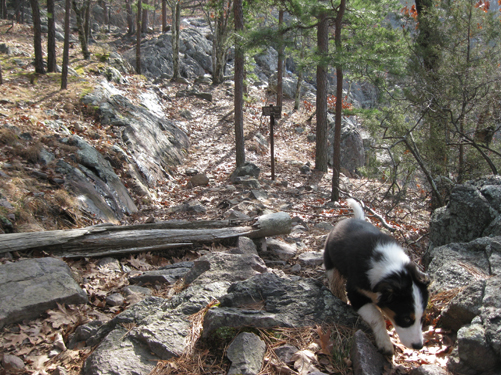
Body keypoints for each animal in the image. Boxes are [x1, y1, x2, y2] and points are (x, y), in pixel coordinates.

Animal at [324, 200, 430, 356]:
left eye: (422, 317)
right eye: (406, 318)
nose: (418, 346)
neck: (393, 268)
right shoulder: (356, 293)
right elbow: (376, 316)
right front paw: (385, 343)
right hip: (331, 265)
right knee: (335, 283)